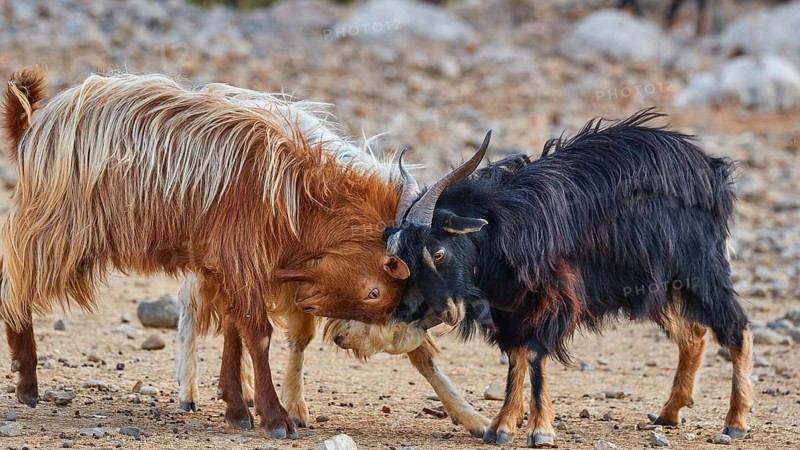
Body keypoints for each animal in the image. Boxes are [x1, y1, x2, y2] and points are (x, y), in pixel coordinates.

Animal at [1, 67, 413, 439]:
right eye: (374, 291)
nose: (355, 341)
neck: (295, 197)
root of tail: (32, 128)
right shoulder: (242, 259)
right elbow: (257, 335)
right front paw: (275, 419)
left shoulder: (229, 265)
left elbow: (235, 331)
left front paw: (236, 407)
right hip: (51, 232)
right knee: (13, 285)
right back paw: (27, 382)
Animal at [385, 110, 751, 448]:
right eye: (402, 260)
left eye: (438, 252)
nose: (416, 310)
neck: (504, 229)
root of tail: (711, 171)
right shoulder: (511, 310)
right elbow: (515, 358)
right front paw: (502, 426)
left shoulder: (552, 299)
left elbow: (534, 355)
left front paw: (540, 431)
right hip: (657, 287)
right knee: (693, 335)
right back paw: (670, 413)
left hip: (699, 271)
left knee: (736, 327)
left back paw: (735, 422)